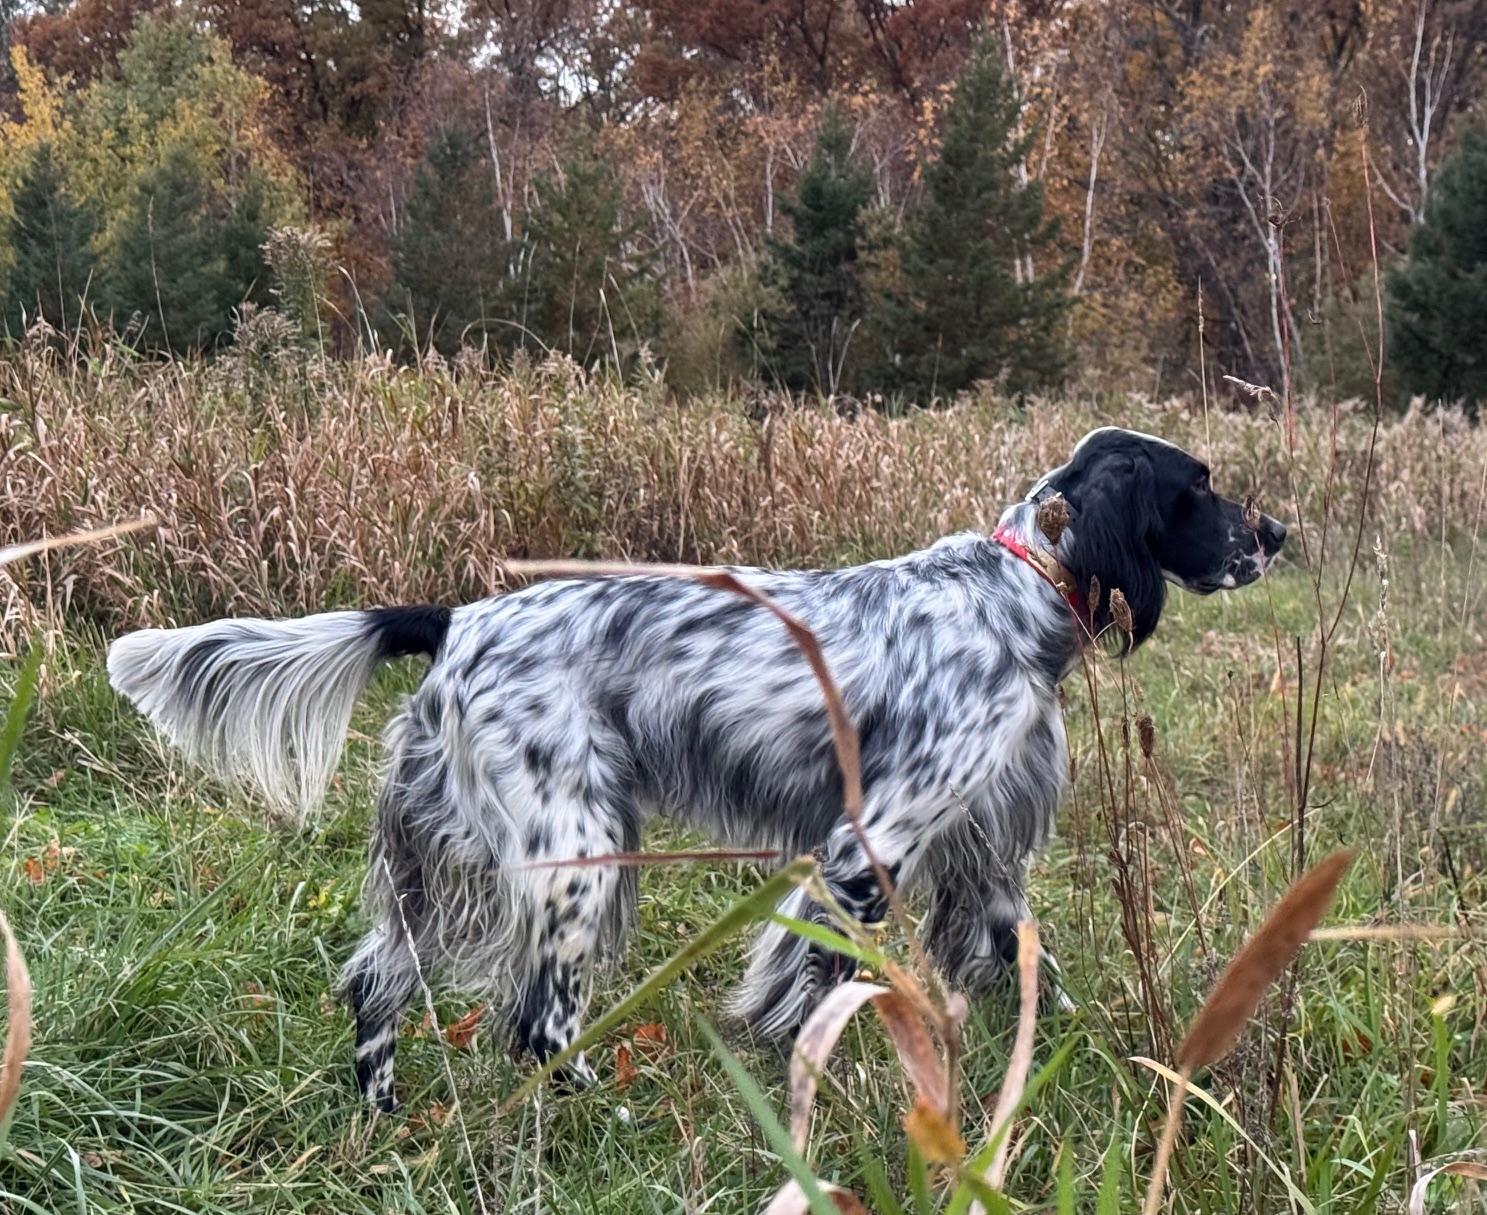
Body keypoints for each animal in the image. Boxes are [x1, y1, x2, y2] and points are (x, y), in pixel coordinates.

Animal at [107, 426, 1286, 1111]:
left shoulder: (985, 843)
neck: (1018, 590)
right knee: (535, 1024)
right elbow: (808, 985)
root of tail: (457, 619)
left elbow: (1014, 961)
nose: (1277, 533)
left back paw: (384, 1112)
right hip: (577, 852)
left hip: (435, 857)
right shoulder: (867, 842)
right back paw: (599, 1113)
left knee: (376, 982)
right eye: (1201, 486)